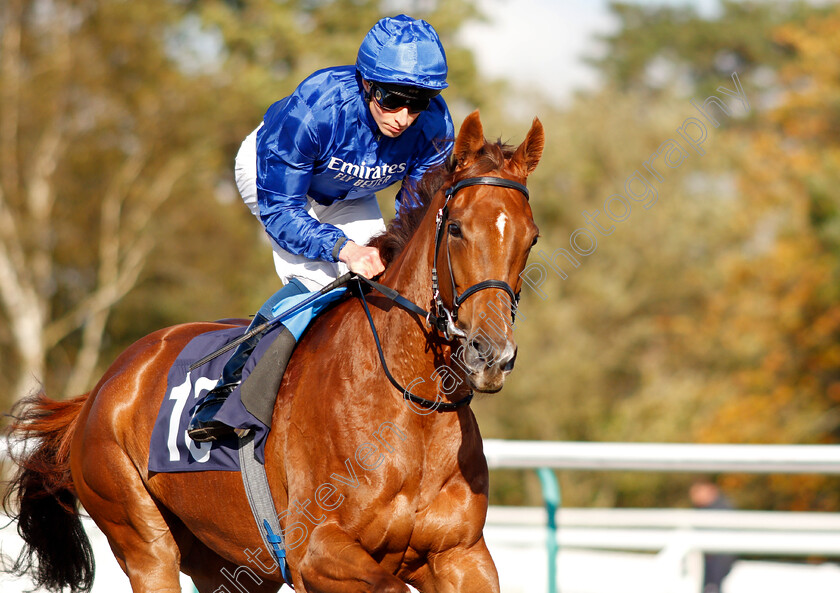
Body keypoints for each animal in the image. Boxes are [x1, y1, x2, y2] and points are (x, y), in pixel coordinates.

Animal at [3, 112, 544, 592]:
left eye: (531, 238)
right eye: (455, 228)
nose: (491, 353)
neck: (411, 412)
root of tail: (100, 389)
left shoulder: (461, 555)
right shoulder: (315, 552)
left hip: (231, 565)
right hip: (140, 536)